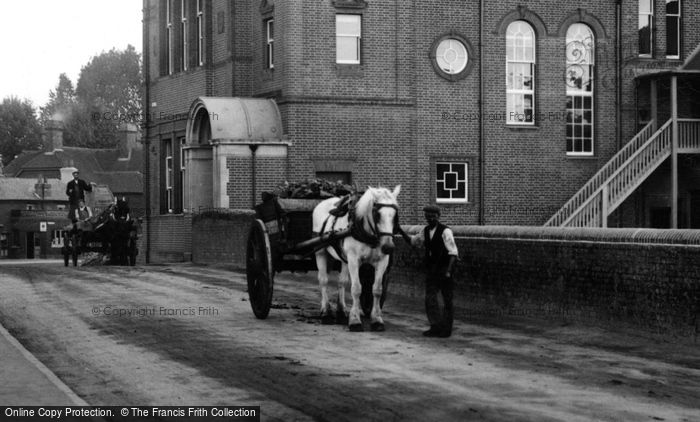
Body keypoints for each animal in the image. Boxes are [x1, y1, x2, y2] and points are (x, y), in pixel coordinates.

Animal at [312, 186, 400, 332]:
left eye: (395, 215)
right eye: (377, 214)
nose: (388, 247)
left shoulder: (382, 261)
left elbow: (377, 289)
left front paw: (377, 319)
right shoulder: (353, 259)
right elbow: (356, 288)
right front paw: (354, 320)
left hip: (343, 258)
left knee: (341, 282)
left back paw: (341, 312)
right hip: (321, 252)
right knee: (323, 280)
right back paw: (326, 313)